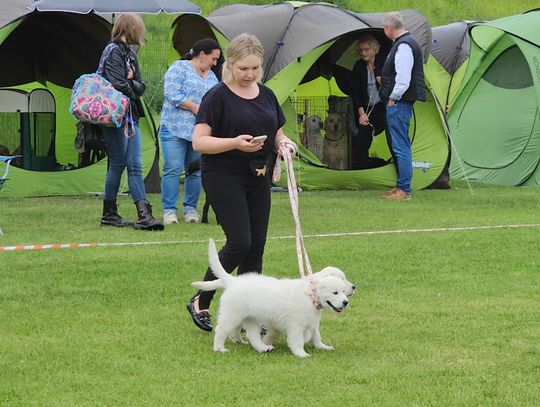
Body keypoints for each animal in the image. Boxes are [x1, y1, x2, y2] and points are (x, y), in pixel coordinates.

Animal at [192, 239, 355, 357]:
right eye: (335, 292)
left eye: (342, 291)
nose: (345, 302)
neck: (310, 296)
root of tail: (233, 281)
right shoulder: (296, 325)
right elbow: (297, 340)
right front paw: (301, 354)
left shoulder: (312, 321)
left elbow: (316, 335)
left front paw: (322, 346)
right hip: (232, 314)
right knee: (221, 329)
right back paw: (219, 348)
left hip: (250, 318)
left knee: (251, 335)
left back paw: (260, 347)